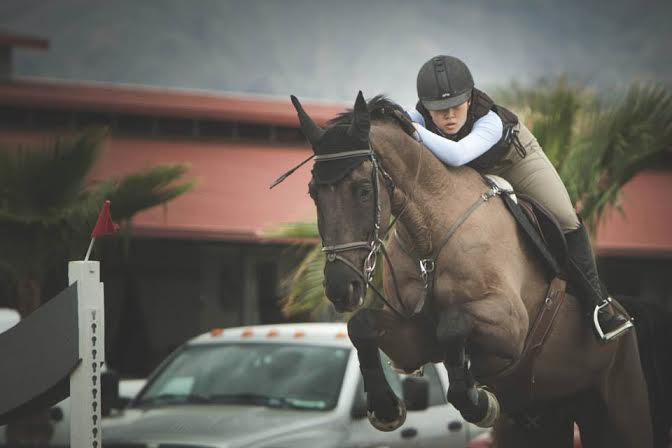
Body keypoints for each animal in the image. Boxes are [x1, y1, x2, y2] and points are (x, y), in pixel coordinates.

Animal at [284, 92, 668, 448]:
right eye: (313, 193)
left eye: (363, 190)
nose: (340, 287)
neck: (430, 238)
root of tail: (628, 314)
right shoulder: (415, 341)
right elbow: (361, 325)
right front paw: (386, 408)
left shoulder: (512, 327)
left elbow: (453, 324)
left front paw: (477, 401)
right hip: (540, 419)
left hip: (618, 412)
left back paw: (608, 320)